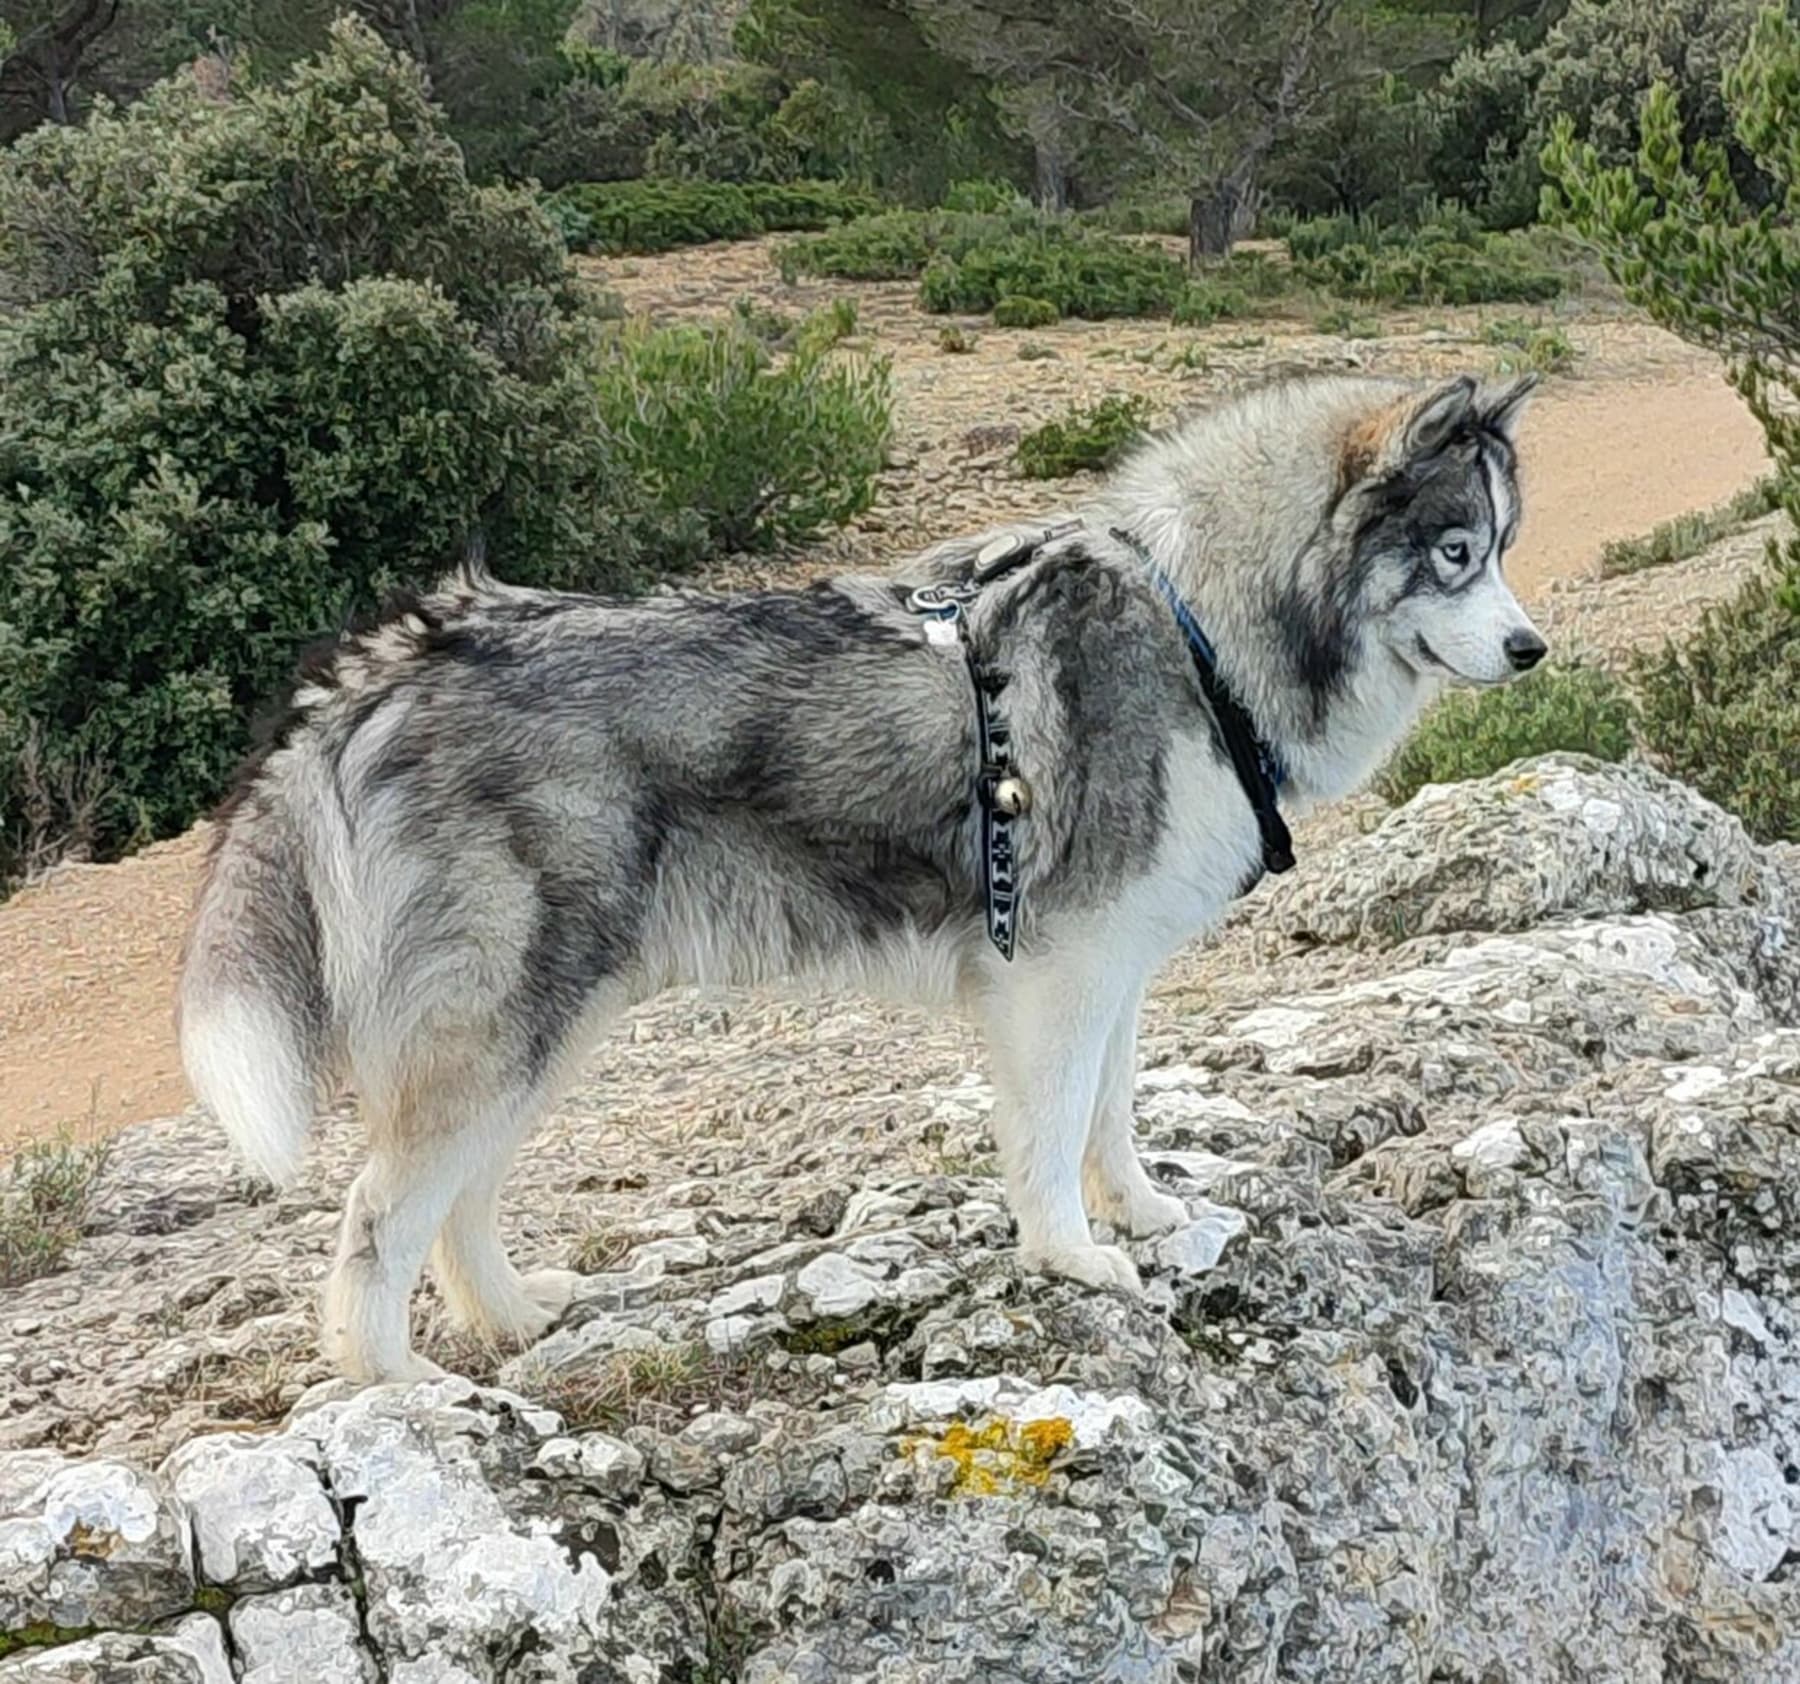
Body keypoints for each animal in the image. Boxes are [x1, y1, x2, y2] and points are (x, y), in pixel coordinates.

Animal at [179, 372, 1548, 1381]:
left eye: (1501, 549)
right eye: (1453, 552)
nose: (1533, 648)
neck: (1195, 623)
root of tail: (392, 658)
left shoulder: (1114, 968)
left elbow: (1109, 1116)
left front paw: (1143, 1214)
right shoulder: (1055, 973)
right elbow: (1053, 1130)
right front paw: (1070, 1257)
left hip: (549, 1028)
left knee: (457, 1204)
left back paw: (515, 1317)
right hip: (500, 1025)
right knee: (374, 1223)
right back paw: (405, 1392)